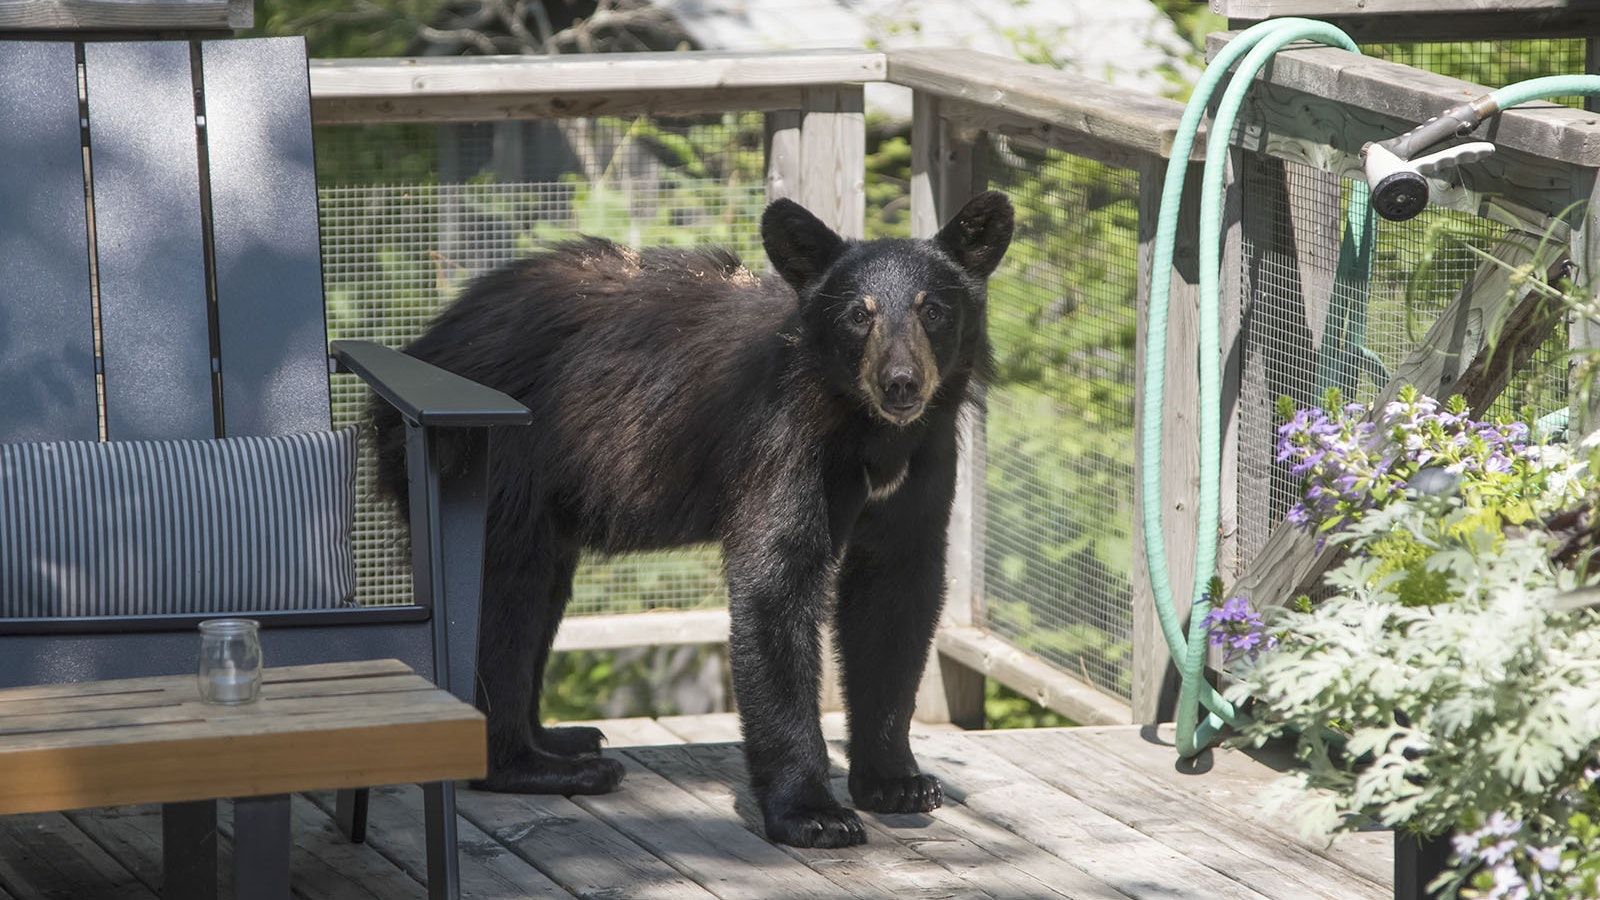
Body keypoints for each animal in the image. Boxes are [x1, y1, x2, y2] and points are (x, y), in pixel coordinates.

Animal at [371, 190, 1014, 848]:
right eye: (859, 315)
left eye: (932, 309)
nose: (901, 384)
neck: (869, 431)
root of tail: (425, 345)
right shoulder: (784, 440)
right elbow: (776, 583)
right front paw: (813, 812)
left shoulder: (925, 458)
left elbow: (896, 592)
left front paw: (896, 782)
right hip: (496, 461)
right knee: (503, 600)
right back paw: (538, 766)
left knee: (538, 593)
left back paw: (560, 739)